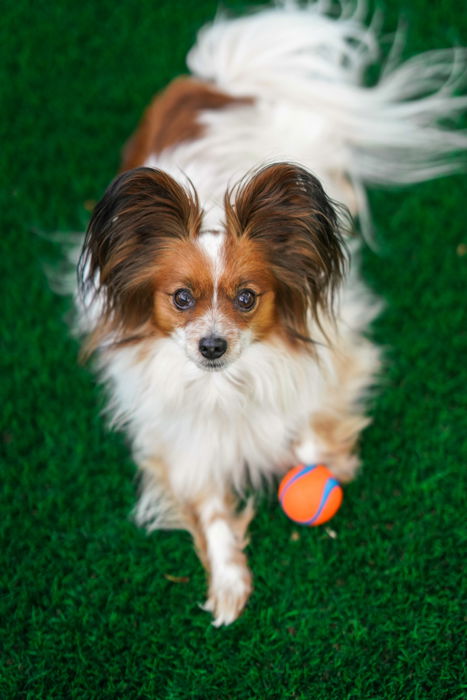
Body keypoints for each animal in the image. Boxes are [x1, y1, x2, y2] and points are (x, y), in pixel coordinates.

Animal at [75, 0, 466, 624]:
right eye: (181, 299)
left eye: (246, 298)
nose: (212, 346)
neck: (227, 385)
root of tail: (213, 83)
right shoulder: (183, 446)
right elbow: (211, 512)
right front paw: (229, 584)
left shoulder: (339, 350)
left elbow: (307, 423)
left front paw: (326, 462)